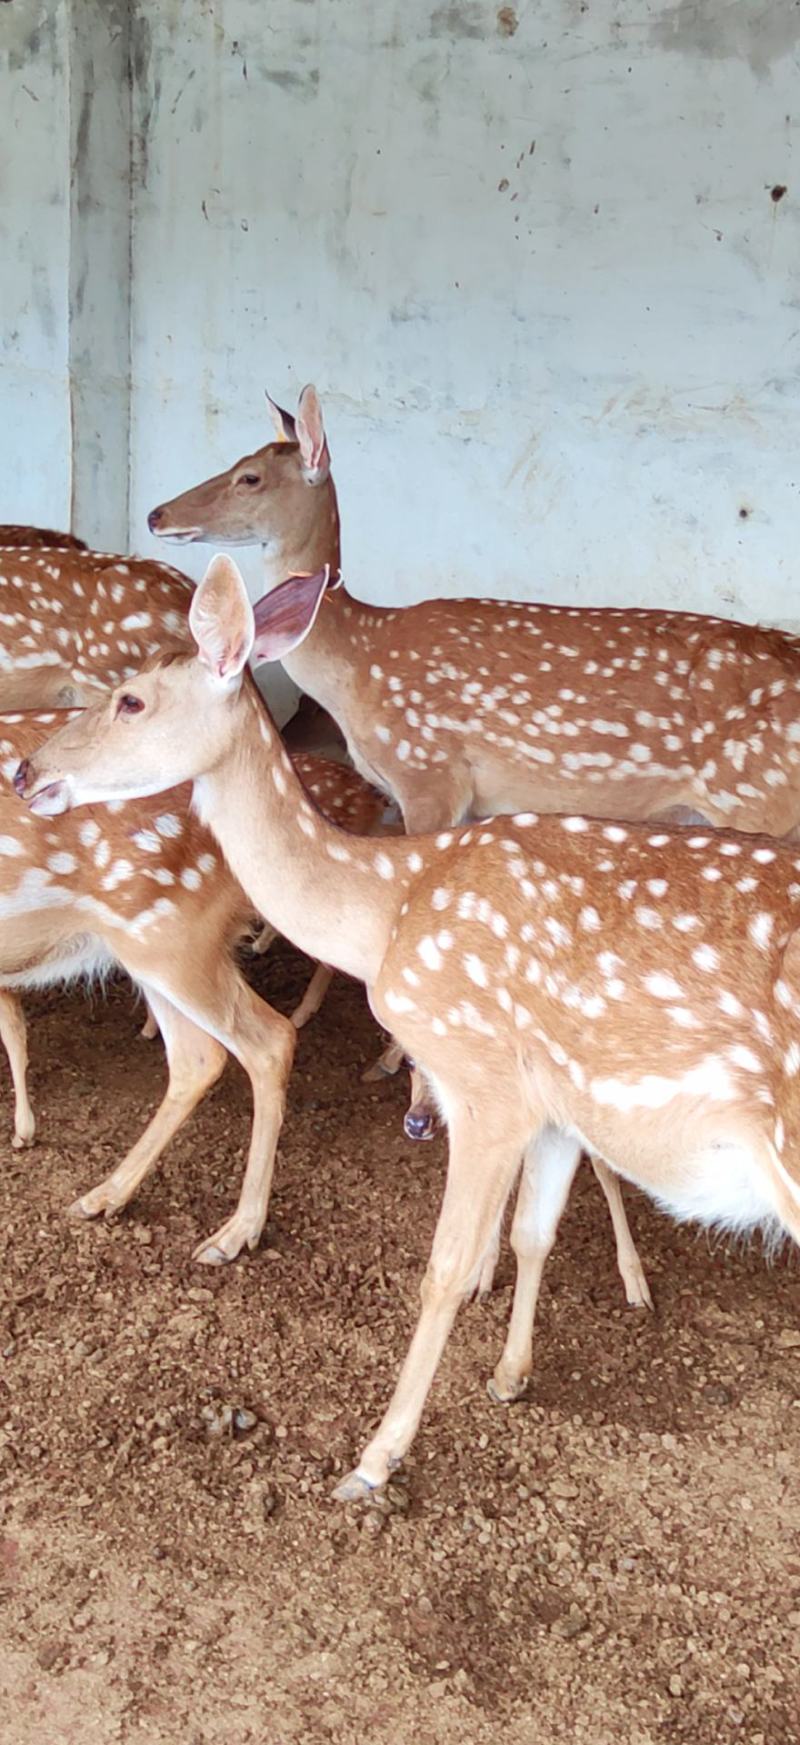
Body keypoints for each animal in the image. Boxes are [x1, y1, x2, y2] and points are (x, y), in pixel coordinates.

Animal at [18, 561, 800, 1500]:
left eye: (130, 698)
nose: (24, 770)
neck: (386, 906)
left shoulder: (483, 1076)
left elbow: (445, 1267)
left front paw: (374, 1458)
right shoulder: (555, 1099)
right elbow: (532, 1230)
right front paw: (511, 1374)